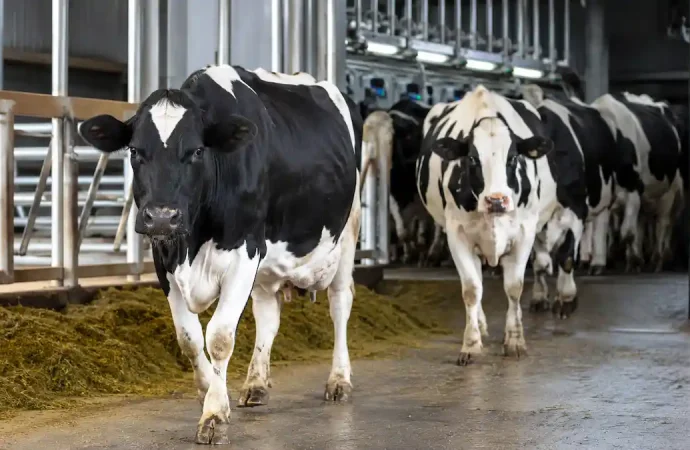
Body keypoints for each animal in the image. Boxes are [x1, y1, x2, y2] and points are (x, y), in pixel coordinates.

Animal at [77, 64, 362, 444]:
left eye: (198, 151)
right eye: (135, 151)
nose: (163, 216)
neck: (193, 244)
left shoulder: (245, 251)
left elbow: (220, 337)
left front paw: (213, 414)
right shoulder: (164, 259)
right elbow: (188, 339)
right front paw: (207, 388)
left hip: (347, 233)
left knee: (340, 304)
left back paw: (339, 380)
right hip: (268, 266)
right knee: (268, 314)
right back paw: (256, 383)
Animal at [415, 85, 572, 364]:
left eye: (513, 157)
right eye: (472, 159)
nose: (496, 200)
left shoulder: (524, 232)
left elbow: (514, 287)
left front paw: (515, 340)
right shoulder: (457, 234)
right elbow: (471, 288)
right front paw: (471, 344)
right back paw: (480, 325)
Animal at [590, 92, 684, 272]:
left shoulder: (634, 190)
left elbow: (627, 233)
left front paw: (623, 255)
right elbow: (603, 228)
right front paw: (598, 262)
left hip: (669, 192)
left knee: (662, 223)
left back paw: (657, 259)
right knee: (641, 222)